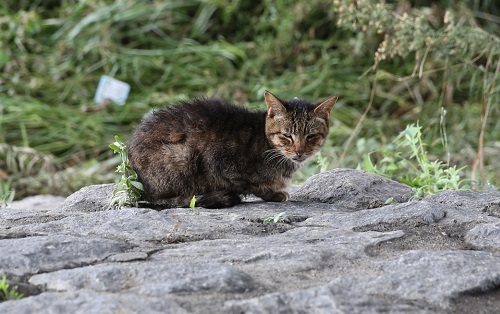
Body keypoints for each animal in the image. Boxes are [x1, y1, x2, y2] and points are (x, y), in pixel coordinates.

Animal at [128, 91, 340, 209]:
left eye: (310, 136)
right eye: (287, 136)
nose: (299, 152)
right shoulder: (221, 164)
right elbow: (252, 186)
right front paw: (274, 194)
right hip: (183, 156)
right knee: (157, 200)